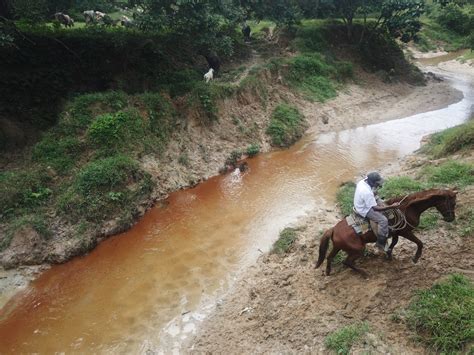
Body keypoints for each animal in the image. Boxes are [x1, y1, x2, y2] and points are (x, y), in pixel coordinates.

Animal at [316, 189, 458, 278]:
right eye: (452, 203)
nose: (451, 218)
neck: (408, 208)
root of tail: (333, 229)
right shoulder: (406, 232)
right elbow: (419, 243)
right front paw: (416, 258)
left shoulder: (395, 232)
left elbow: (394, 242)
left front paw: (388, 254)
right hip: (358, 249)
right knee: (347, 262)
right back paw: (364, 273)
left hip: (338, 247)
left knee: (329, 257)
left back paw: (328, 272)